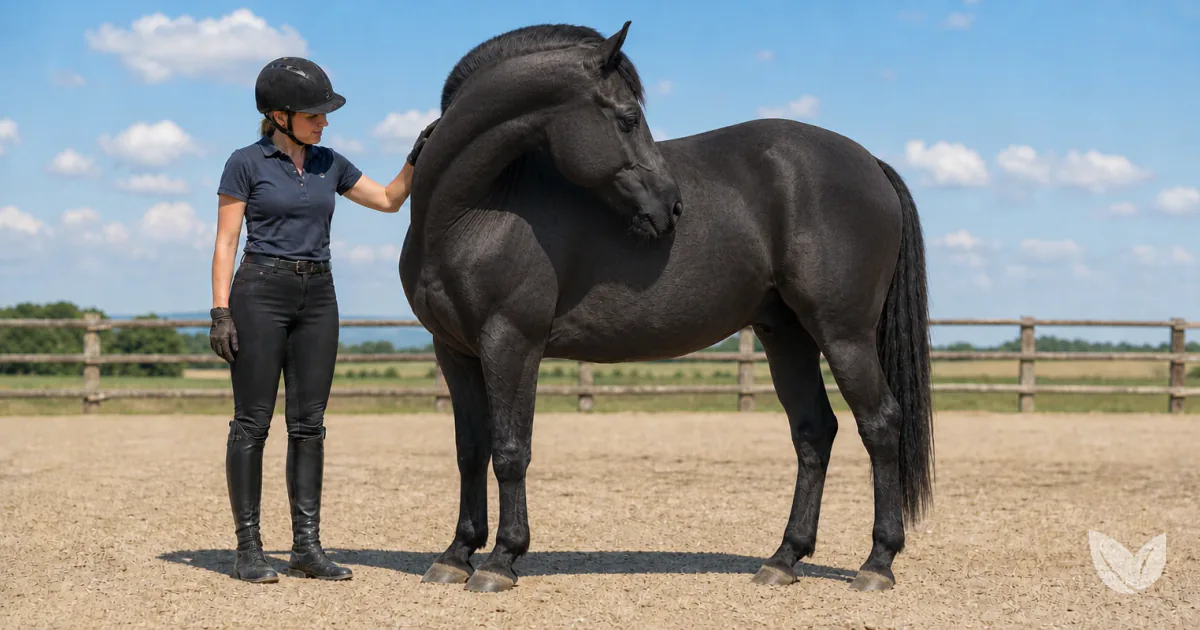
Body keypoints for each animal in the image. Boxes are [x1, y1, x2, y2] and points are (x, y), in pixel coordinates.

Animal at [399, 21, 935, 594]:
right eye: (628, 118)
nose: (672, 206)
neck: (475, 210)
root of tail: (870, 163)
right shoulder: (455, 351)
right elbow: (471, 450)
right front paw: (456, 554)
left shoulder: (511, 341)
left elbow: (510, 450)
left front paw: (501, 559)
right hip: (786, 335)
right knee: (815, 432)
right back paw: (784, 558)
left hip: (843, 334)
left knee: (880, 425)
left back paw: (877, 563)